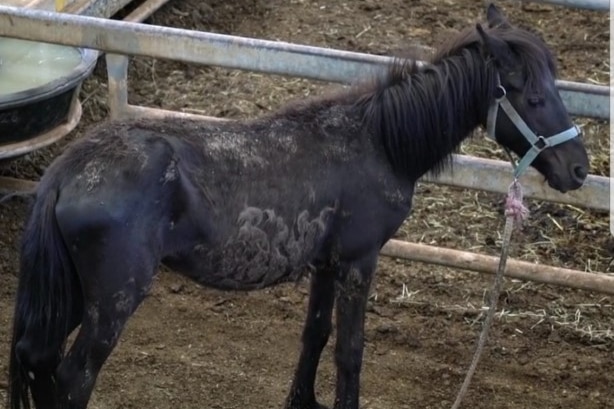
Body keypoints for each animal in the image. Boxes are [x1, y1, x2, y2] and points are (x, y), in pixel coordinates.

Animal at [6, 3, 592, 408]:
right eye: (533, 97)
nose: (579, 170)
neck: (376, 141)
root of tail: (67, 172)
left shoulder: (325, 263)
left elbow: (315, 335)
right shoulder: (358, 261)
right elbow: (350, 352)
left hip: (75, 294)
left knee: (38, 360)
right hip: (112, 300)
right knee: (73, 378)